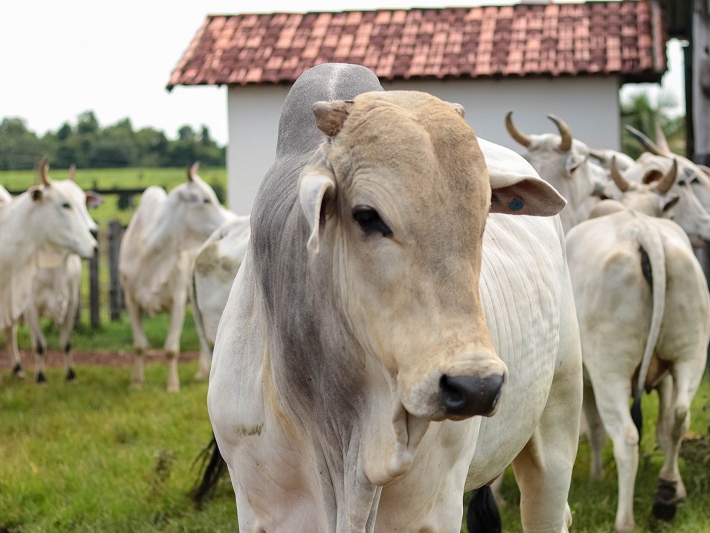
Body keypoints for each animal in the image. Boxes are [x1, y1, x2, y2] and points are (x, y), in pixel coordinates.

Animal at [2, 160, 98, 380]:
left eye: (85, 202)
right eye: (65, 204)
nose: (94, 234)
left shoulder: (71, 303)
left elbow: (66, 342)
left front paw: (70, 374)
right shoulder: (30, 306)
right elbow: (39, 345)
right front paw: (40, 377)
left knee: (10, 330)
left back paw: (18, 368)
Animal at [119, 162, 234, 390]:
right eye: (205, 200)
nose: (228, 221)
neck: (149, 252)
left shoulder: (178, 299)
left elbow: (171, 349)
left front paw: (172, 385)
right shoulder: (131, 300)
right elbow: (139, 346)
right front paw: (137, 382)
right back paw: (202, 372)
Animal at [207, 63, 584, 532]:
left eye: (483, 215)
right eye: (367, 216)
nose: (475, 385)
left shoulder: (437, 509)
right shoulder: (259, 509)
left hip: (558, 418)